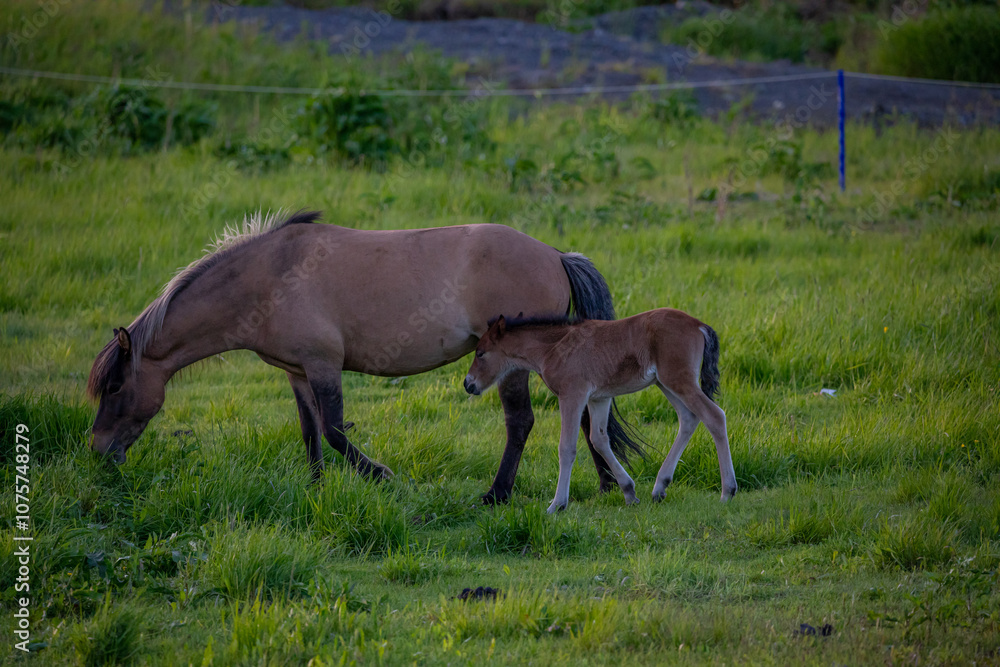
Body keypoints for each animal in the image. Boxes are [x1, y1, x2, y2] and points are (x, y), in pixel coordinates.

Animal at [86, 210, 646, 504]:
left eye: (114, 387)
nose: (99, 451)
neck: (271, 277)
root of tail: (555, 254)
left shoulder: (323, 366)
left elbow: (335, 430)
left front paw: (380, 475)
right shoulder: (297, 372)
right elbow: (310, 432)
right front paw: (314, 489)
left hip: (511, 366)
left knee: (522, 421)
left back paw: (497, 494)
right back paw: (602, 483)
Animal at [463, 309, 737, 513]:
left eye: (481, 353)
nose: (468, 383)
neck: (553, 347)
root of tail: (699, 325)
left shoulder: (572, 395)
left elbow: (567, 447)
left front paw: (557, 505)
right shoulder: (599, 398)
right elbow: (599, 439)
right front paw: (629, 492)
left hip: (678, 379)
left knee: (714, 416)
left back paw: (728, 491)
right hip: (666, 383)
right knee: (689, 418)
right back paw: (660, 487)